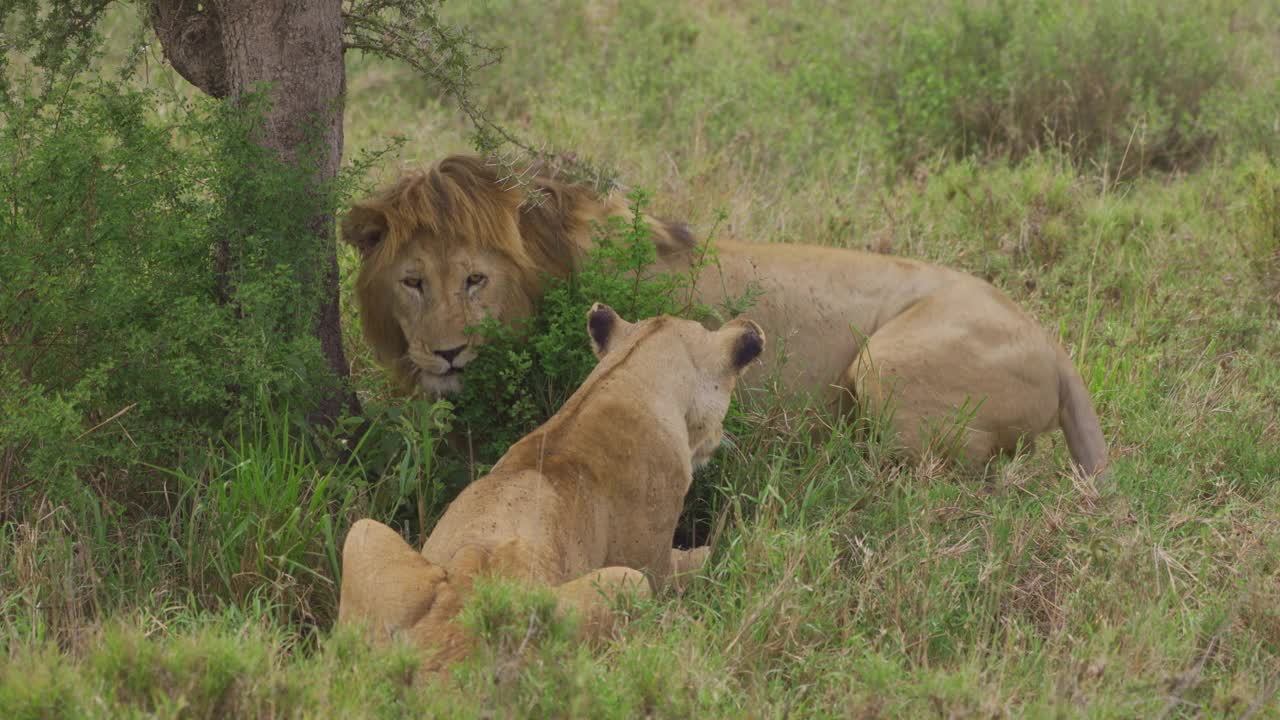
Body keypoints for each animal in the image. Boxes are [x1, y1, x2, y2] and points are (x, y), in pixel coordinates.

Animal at [335, 302, 762, 671]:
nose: (720, 438)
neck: (627, 372)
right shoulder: (654, 567)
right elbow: (709, 559)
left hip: (362, 532)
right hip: (628, 584)